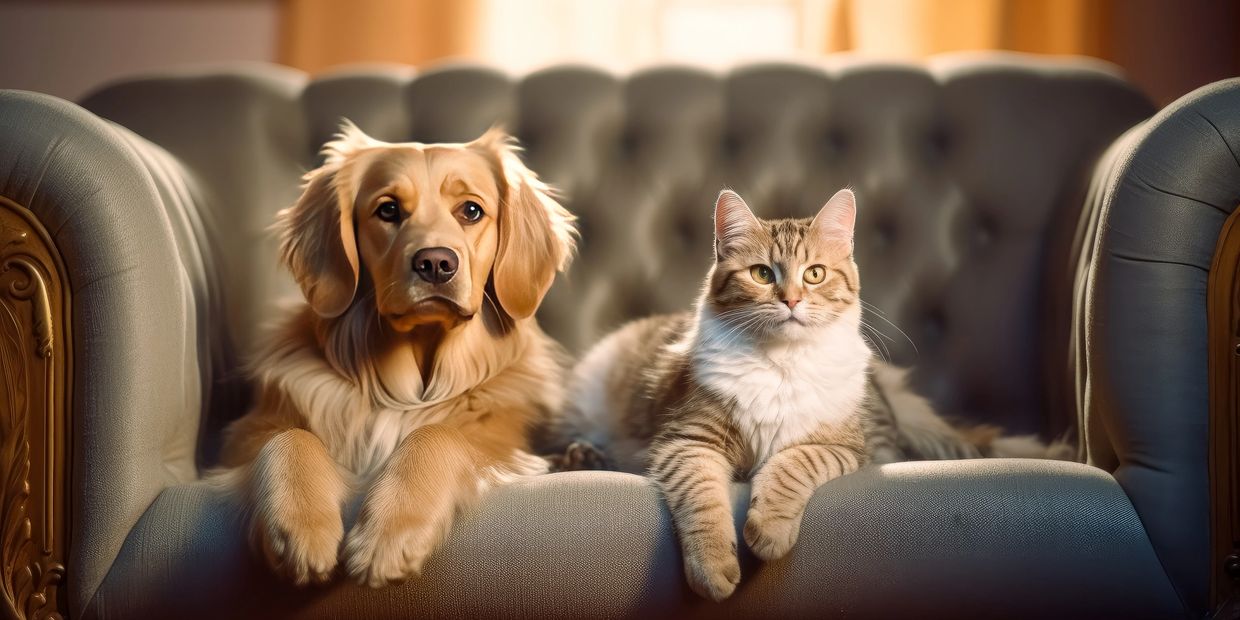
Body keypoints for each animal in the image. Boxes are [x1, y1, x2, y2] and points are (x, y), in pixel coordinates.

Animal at [217, 119, 575, 585]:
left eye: (471, 211)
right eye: (387, 210)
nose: (436, 263)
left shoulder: (501, 436)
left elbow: (439, 433)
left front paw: (389, 533)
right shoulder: (245, 435)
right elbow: (287, 436)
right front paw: (301, 527)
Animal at [548, 188, 1071, 600]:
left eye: (815, 274)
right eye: (762, 274)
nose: (792, 300)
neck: (782, 364)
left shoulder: (841, 446)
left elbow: (791, 466)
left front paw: (768, 531)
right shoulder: (688, 442)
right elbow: (703, 505)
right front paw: (715, 571)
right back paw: (582, 457)